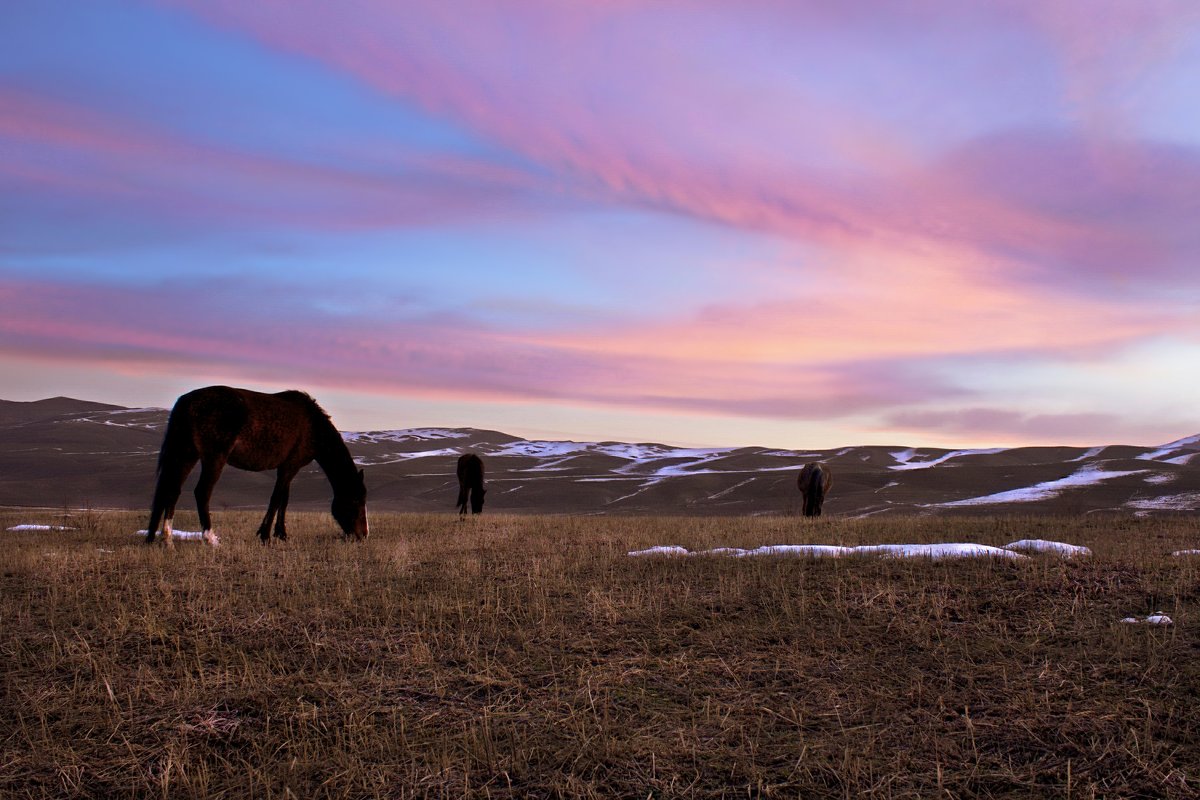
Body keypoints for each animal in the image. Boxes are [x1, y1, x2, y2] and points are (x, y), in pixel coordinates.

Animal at [143, 386, 364, 546]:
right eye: (356, 501)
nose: (363, 535)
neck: (313, 426)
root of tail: (186, 402)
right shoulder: (290, 466)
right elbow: (276, 499)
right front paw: (265, 536)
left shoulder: (286, 467)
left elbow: (284, 500)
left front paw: (281, 534)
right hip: (213, 458)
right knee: (201, 492)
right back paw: (211, 538)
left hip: (186, 455)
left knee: (171, 491)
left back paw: (165, 540)